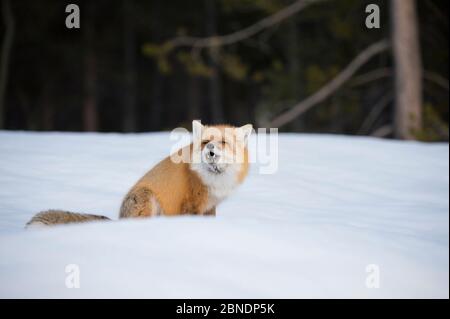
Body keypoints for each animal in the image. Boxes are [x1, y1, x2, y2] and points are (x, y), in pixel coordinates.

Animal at [25, 120, 253, 228]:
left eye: (223, 142)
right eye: (206, 142)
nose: (210, 151)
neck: (214, 179)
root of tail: (119, 219)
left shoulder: (210, 206)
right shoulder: (191, 204)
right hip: (148, 199)